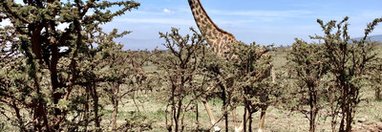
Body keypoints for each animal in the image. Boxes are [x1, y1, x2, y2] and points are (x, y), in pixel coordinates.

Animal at [187, 0, 270, 132]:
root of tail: (270, 60)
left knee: (258, 101)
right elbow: (204, 94)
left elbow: (231, 100)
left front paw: (235, 127)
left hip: (256, 79)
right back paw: (259, 128)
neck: (214, 40)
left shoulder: (227, 75)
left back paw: (247, 128)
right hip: (261, 80)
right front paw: (216, 126)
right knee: (263, 101)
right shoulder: (220, 74)